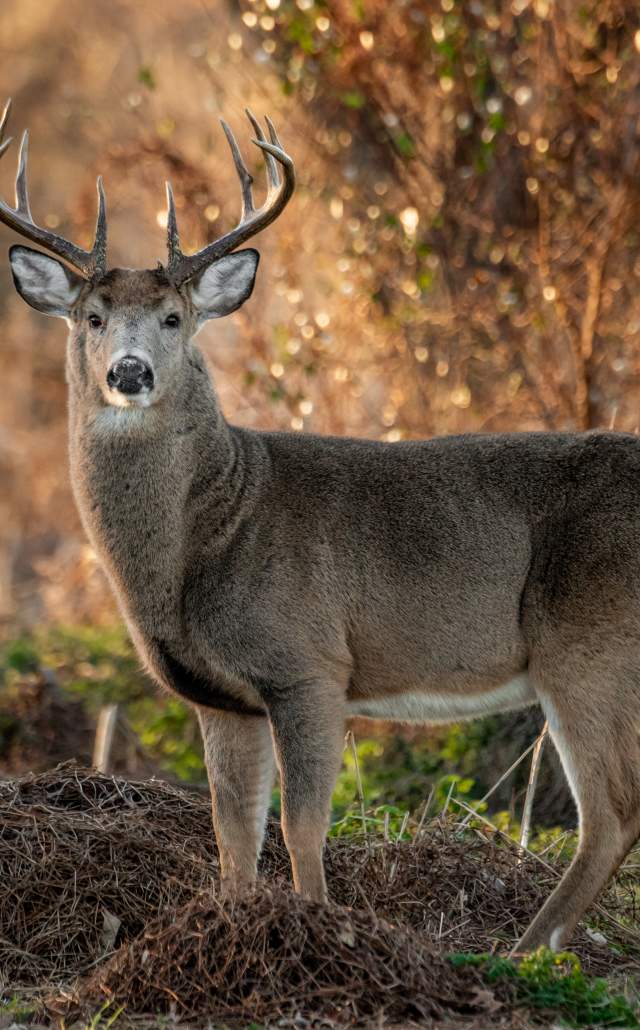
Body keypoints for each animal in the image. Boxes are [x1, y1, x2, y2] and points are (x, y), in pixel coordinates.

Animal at [2, 96, 640, 957]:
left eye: (173, 317)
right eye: (91, 316)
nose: (128, 372)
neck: (212, 532)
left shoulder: (308, 663)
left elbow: (301, 829)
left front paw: (317, 931)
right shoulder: (220, 694)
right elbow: (233, 834)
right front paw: (231, 927)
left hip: (588, 643)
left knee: (610, 813)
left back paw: (517, 955)